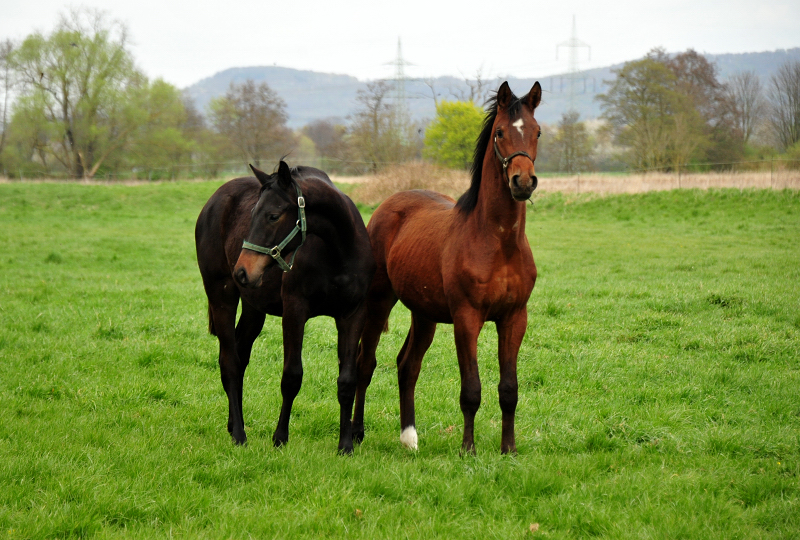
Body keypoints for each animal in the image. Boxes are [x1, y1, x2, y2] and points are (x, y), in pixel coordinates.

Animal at [198, 161, 376, 456]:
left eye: (273, 216)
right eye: (252, 213)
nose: (242, 271)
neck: (338, 251)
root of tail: (213, 201)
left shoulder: (353, 315)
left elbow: (347, 381)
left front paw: (345, 444)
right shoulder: (295, 312)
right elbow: (292, 377)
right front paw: (280, 437)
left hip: (253, 307)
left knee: (240, 355)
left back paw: (235, 424)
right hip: (221, 296)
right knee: (230, 362)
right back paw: (239, 435)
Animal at [354, 82, 540, 454]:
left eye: (538, 131)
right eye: (500, 132)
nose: (523, 182)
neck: (498, 242)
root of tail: (386, 207)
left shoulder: (514, 318)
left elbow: (508, 390)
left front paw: (508, 450)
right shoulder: (467, 319)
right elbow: (471, 389)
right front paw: (468, 449)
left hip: (424, 314)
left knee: (407, 366)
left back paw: (409, 437)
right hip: (379, 303)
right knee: (365, 363)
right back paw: (355, 433)